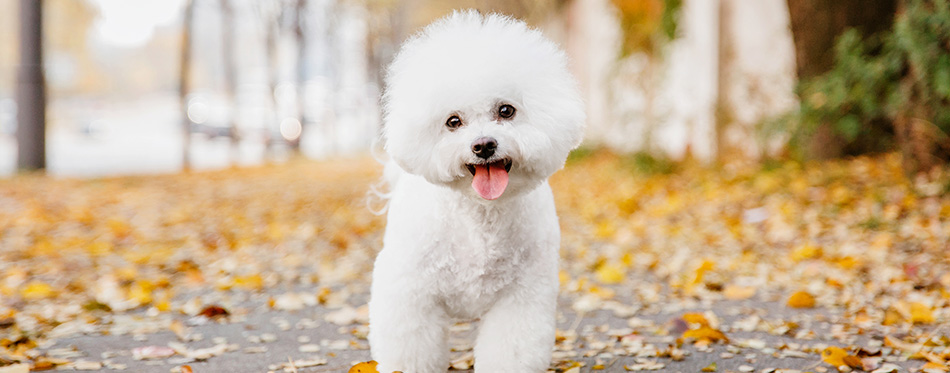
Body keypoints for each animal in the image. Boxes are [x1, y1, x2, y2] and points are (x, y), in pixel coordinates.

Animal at [368, 9, 584, 372]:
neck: (481, 215)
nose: (484, 145)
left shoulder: (522, 298)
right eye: (453, 121)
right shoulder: (411, 294)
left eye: (506, 110)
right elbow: (410, 347)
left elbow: (510, 349)